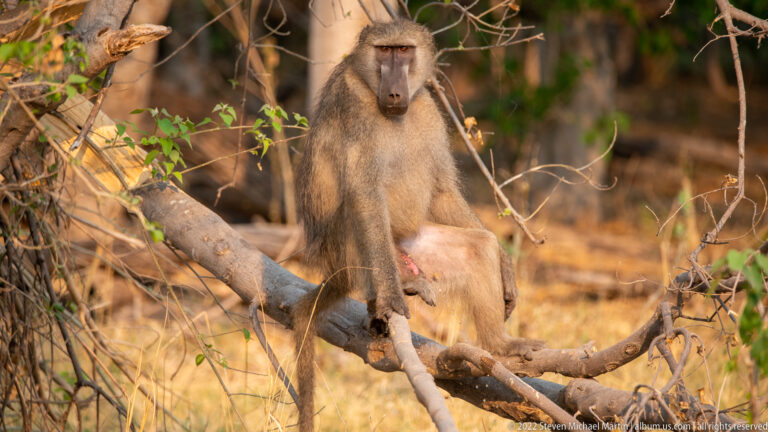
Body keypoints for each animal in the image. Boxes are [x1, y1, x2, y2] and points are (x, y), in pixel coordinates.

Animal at [293, 19, 538, 431]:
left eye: (404, 50)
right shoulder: (351, 104)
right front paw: (392, 297)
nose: (394, 91)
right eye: (384, 51)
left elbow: (441, 190)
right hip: (350, 253)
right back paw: (397, 287)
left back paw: (499, 347)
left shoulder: (427, 107)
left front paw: (506, 266)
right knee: (357, 210)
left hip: (415, 247)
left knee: (478, 247)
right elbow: (365, 193)